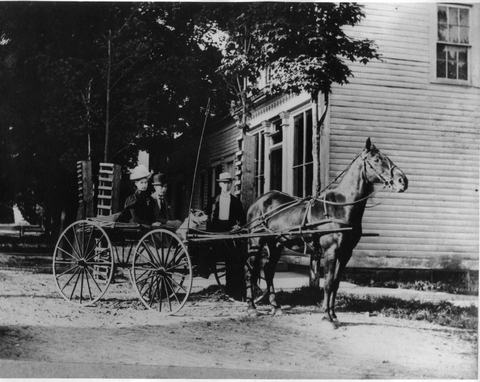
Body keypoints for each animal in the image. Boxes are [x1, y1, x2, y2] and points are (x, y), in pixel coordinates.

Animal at [246, 138, 406, 326]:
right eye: (376, 159)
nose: (402, 180)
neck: (341, 206)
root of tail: (260, 200)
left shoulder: (346, 253)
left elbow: (335, 283)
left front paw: (334, 314)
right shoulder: (331, 251)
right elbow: (328, 282)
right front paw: (327, 316)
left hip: (276, 244)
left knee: (269, 269)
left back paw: (276, 307)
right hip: (256, 242)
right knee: (250, 270)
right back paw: (252, 308)